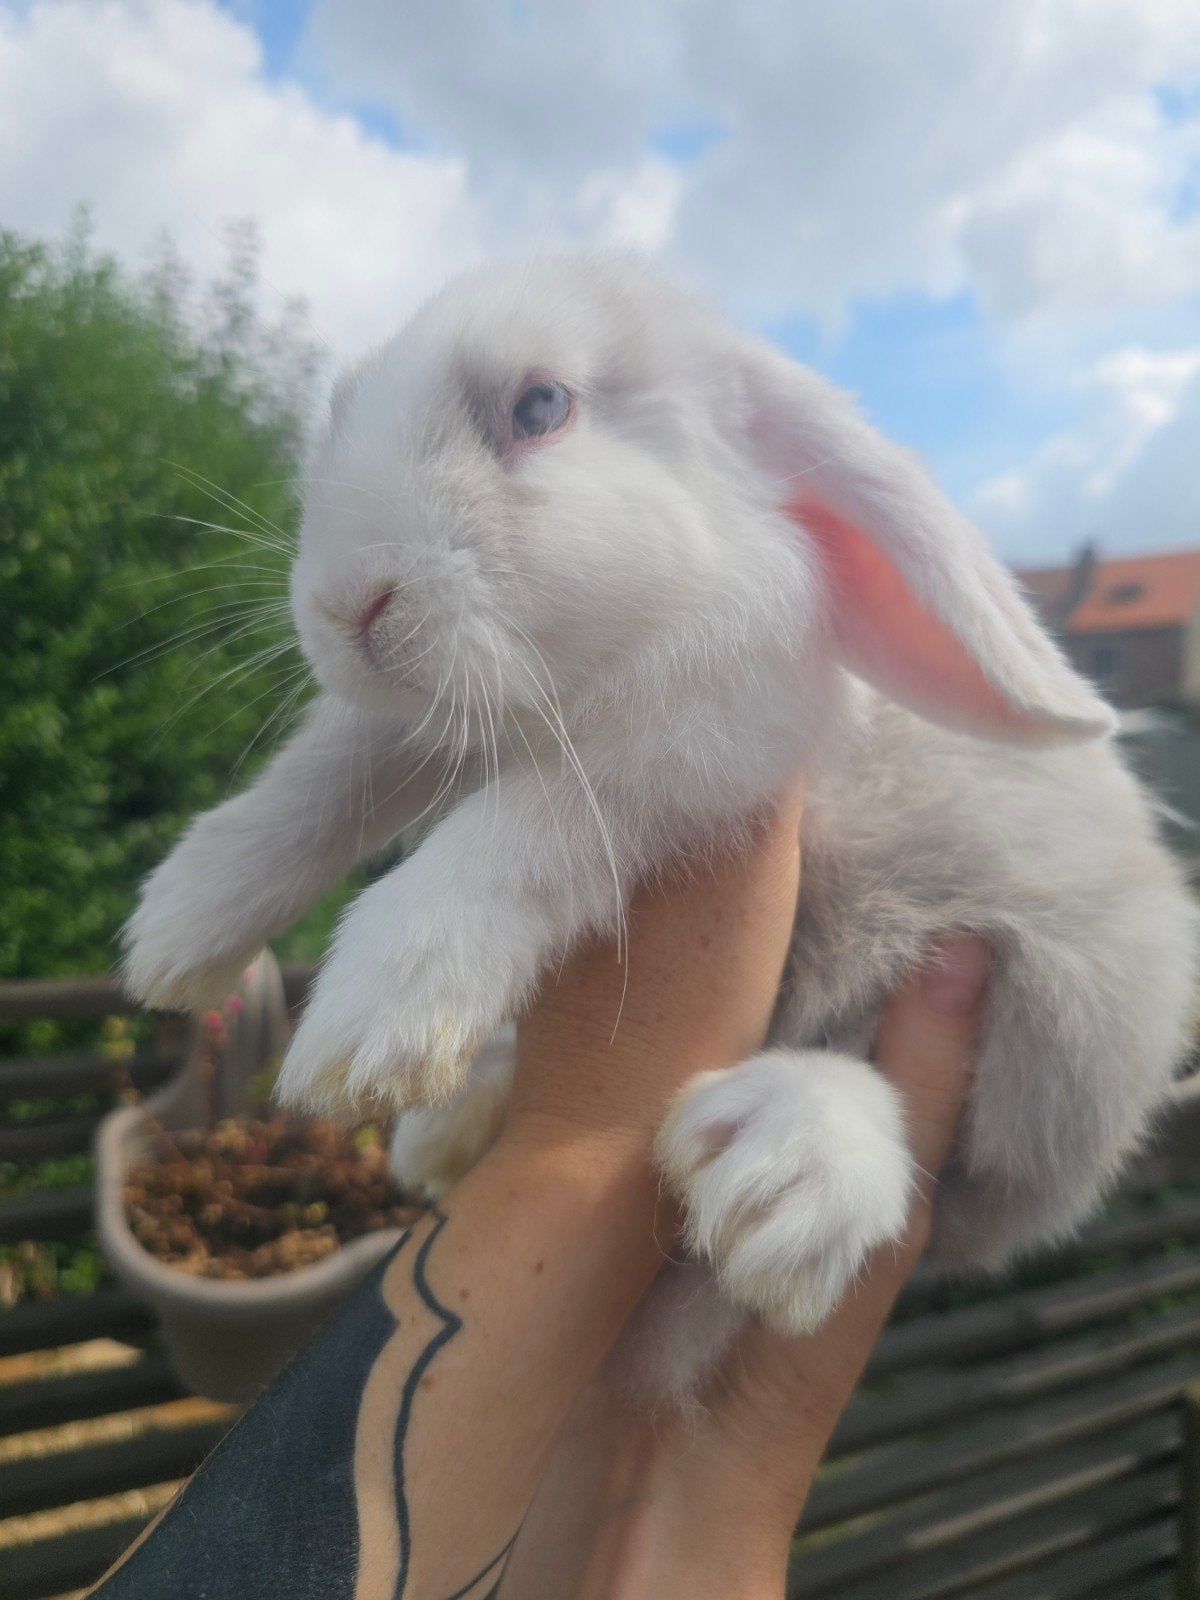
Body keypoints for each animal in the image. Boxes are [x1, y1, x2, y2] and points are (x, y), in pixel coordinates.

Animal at [124, 256, 1198, 1391]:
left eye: (540, 407)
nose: (347, 604)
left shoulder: (692, 750)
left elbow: (517, 831)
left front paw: (374, 1022)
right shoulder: (426, 728)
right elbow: (327, 774)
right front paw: (178, 931)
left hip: (1050, 1013)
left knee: (939, 1154)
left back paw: (791, 1169)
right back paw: (444, 1134)